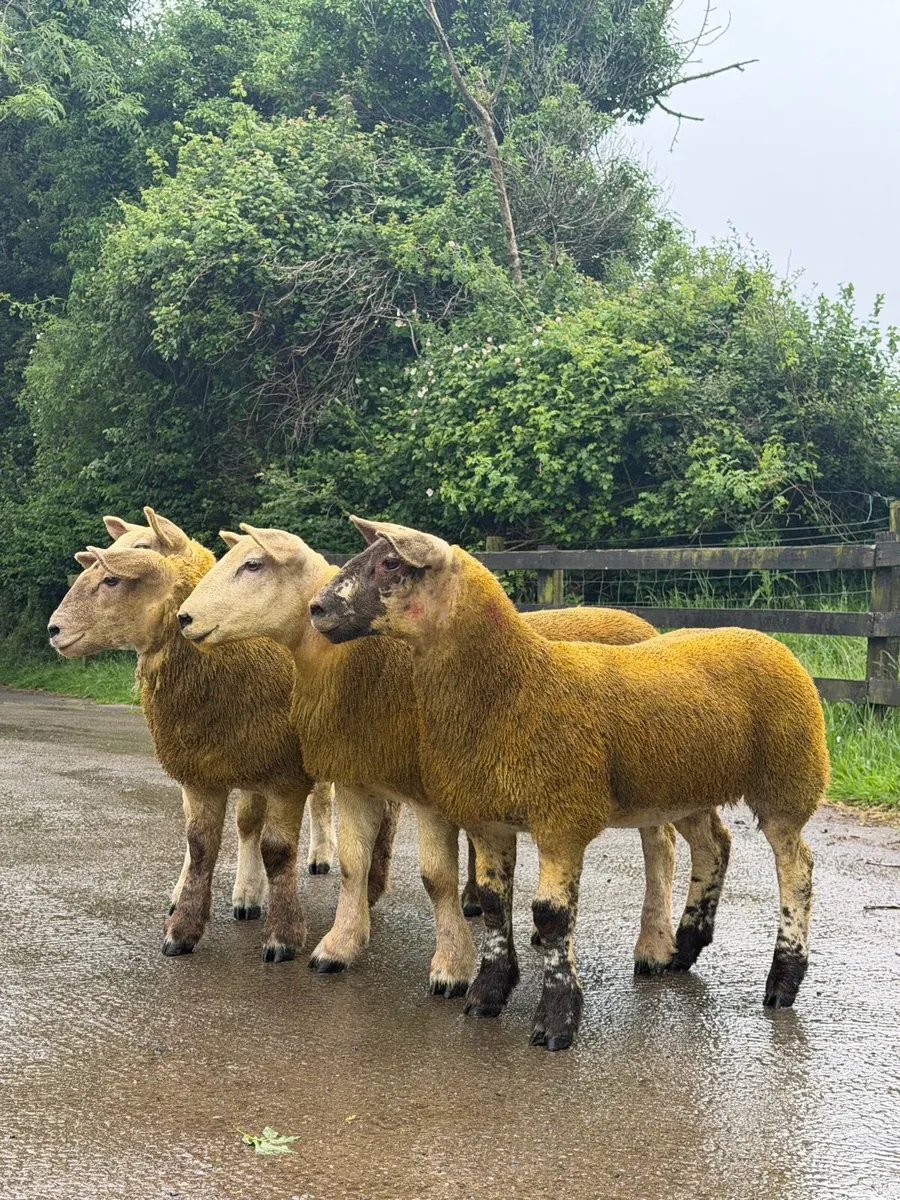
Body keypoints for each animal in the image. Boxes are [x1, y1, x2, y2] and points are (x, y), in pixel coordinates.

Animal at [176, 525, 732, 990]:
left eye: (253, 565)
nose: (184, 617)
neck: (357, 665)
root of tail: (644, 625)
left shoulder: (429, 791)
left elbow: (434, 878)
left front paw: (451, 969)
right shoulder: (358, 776)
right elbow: (354, 865)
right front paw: (339, 946)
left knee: (662, 847)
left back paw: (655, 947)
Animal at [304, 517, 829, 1050]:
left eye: (391, 562)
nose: (316, 609)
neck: (515, 686)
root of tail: (768, 639)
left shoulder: (562, 818)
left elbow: (551, 916)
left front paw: (556, 1020)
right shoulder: (488, 819)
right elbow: (494, 904)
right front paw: (488, 995)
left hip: (788, 781)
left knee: (798, 870)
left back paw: (782, 980)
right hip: (687, 787)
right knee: (714, 846)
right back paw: (683, 948)